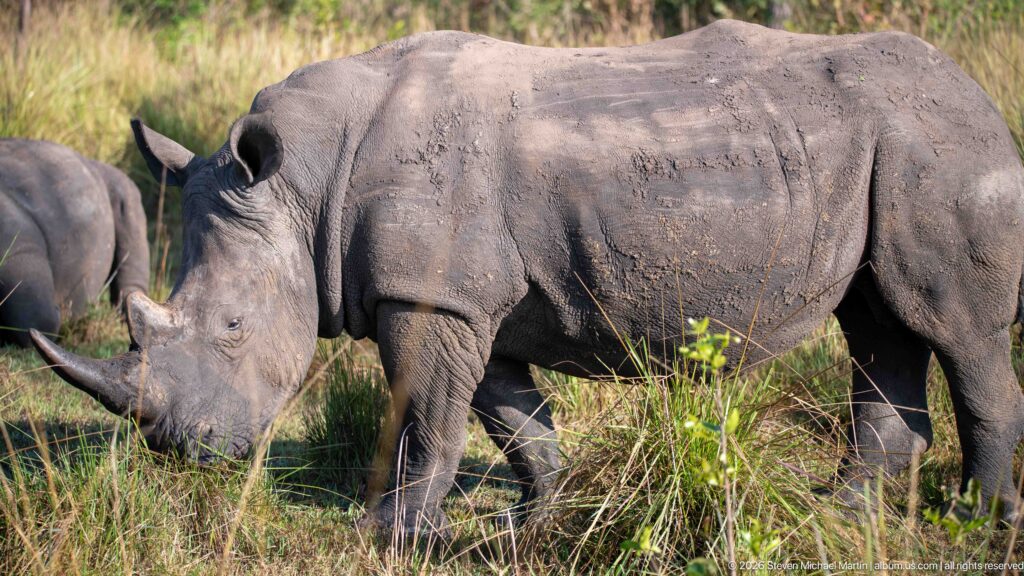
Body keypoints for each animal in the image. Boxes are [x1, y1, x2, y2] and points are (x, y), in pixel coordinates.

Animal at [31, 20, 1024, 535]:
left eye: (234, 329)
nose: (187, 454)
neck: (306, 180)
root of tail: (977, 92)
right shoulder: (471, 301)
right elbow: (513, 418)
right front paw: (530, 521)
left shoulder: (428, 295)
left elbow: (429, 416)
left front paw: (391, 534)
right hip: (885, 150)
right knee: (879, 321)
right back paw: (843, 514)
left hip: (940, 143)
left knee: (956, 331)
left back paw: (979, 520)